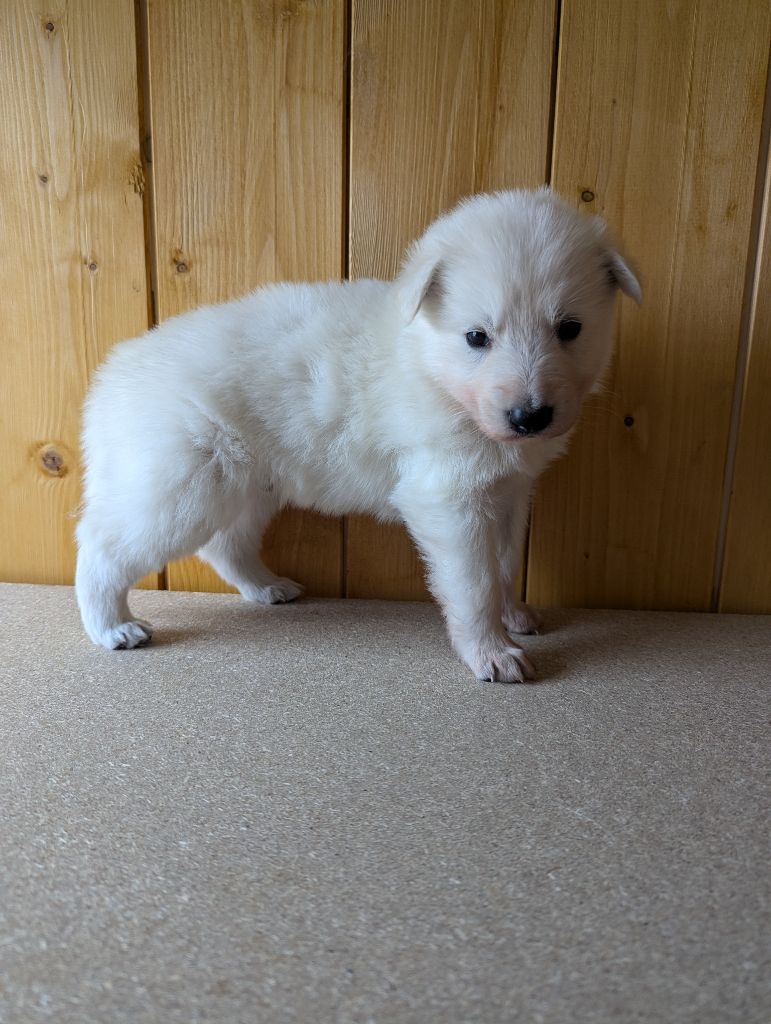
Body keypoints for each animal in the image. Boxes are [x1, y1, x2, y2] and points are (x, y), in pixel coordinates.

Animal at [76, 188, 638, 684]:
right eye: (477, 337)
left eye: (570, 328)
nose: (529, 417)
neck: (433, 367)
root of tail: (113, 373)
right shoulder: (448, 498)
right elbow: (474, 582)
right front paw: (493, 654)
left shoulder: (507, 492)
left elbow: (503, 563)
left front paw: (515, 616)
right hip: (178, 489)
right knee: (104, 544)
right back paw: (113, 627)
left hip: (250, 486)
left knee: (225, 545)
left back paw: (267, 587)